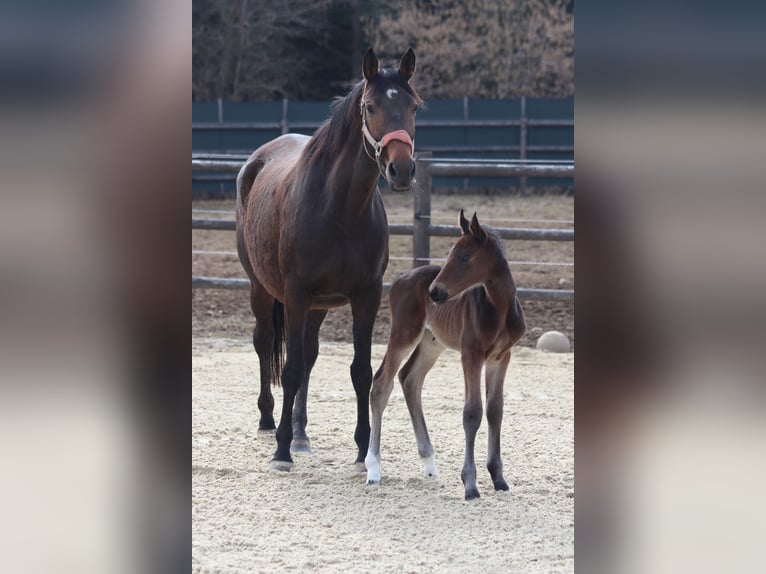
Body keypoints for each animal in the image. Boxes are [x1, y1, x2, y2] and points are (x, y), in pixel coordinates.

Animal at [236, 48, 424, 472]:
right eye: (370, 106)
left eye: (413, 107)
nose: (402, 169)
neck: (339, 209)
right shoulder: (295, 293)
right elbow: (289, 369)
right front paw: (282, 452)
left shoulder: (366, 295)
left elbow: (360, 371)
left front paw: (363, 447)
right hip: (262, 289)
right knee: (265, 342)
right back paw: (269, 419)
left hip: (317, 306)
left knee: (308, 353)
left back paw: (301, 432)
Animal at [366, 210, 528, 500]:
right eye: (451, 253)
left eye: (464, 257)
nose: (435, 292)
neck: (499, 308)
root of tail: (399, 278)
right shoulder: (471, 354)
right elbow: (472, 412)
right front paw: (470, 484)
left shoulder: (501, 357)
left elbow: (495, 410)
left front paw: (498, 478)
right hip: (404, 334)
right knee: (382, 383)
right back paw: (373, 469)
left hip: (432, 343)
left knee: (409, 378)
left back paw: (429, 463)